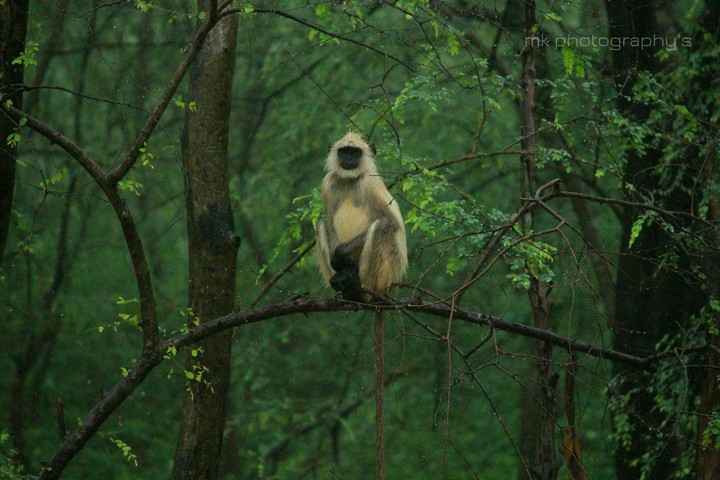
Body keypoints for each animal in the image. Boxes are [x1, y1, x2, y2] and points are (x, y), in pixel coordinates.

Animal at [316, 131, 407, 480]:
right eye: (345, 153)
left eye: (355, 153)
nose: (349, 161)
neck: (351, 181)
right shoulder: (329, 183)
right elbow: (327, 219)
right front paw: (338, 265)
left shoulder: (371, 183)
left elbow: (393, 223)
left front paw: (343, 258)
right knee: (320, 222)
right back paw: (344, 288)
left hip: (384, 274)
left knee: (383, 226)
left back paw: (359, 289)